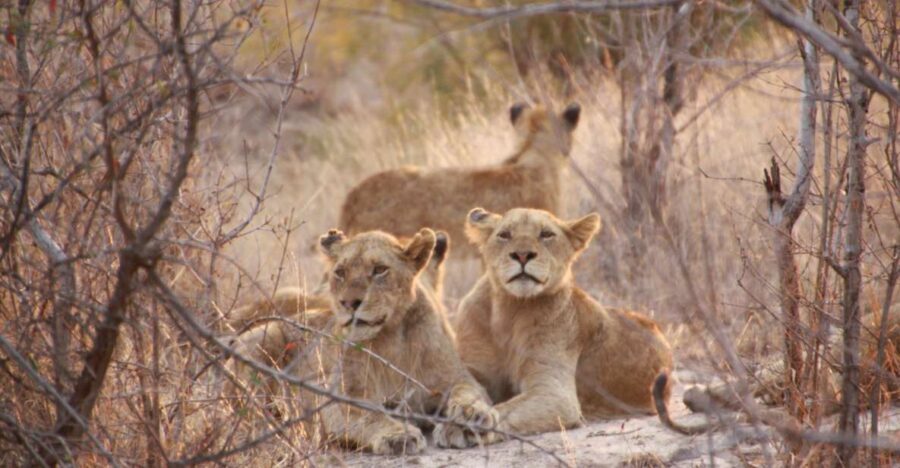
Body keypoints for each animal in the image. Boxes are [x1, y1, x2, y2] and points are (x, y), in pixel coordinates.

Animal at [227, 228, 497, 454]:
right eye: (340, 272)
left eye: (379, 270)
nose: (349, 303)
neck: (389, 339)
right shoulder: (338, 400)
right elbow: (369, 414)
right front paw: (397, 435)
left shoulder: (456, 378)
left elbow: (467, 394)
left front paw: (469, 420)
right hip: (263, 338)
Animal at [455, 207, 676, 437]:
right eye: (504, 234)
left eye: (546, 234)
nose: (522, 255)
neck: (510, 308)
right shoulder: (474, 368)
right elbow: (460, 388)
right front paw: (466, 412)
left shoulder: (555, 394)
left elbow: (508, 408)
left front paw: (477, 421)